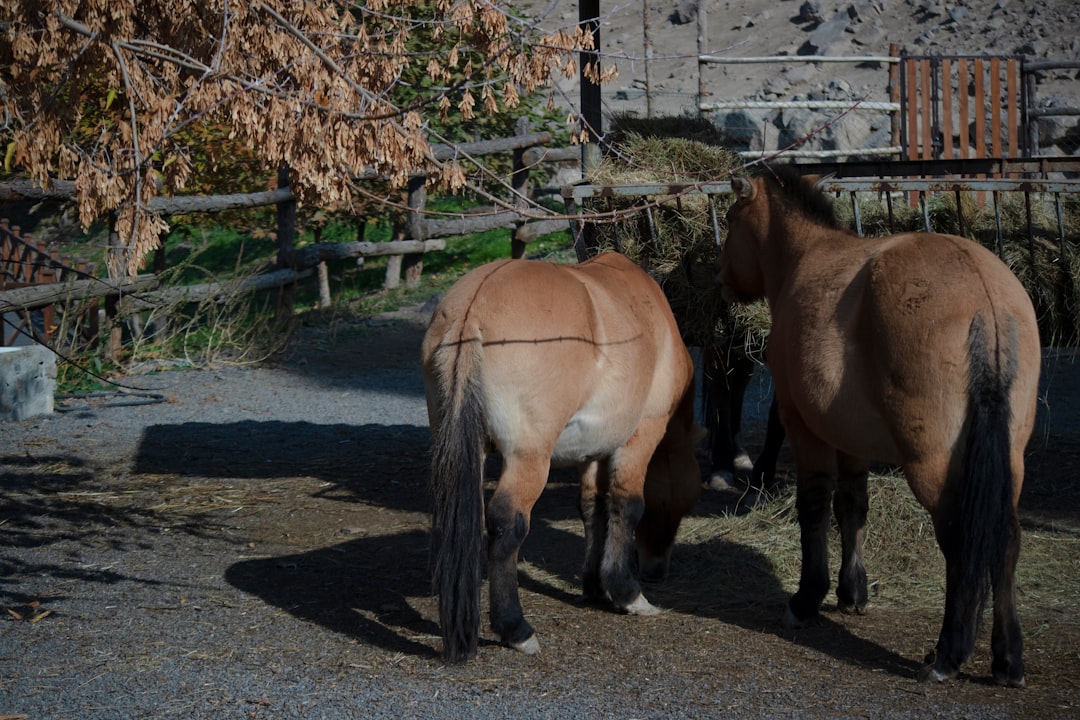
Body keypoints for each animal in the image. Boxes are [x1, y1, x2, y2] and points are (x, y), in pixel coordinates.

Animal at [421, 253, 699, 664]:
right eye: (678, 507)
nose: (656, 569)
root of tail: (472, 310)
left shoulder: (594, 452)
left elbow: (592, 509)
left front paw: (597, 588)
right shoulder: (641, 436)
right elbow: (626, 505)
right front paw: (627, 593)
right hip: (529, 457)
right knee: (507, 525)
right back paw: (516, 629)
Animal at [721, 167, 1041, 686]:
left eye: (730, 220)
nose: (721, 279)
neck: (807, 257)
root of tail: (983, 293)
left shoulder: (805, 428)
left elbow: (814, 505)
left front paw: (807, 598)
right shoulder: (849, 437)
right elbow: (853, 503)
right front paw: (853, 591)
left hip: (932, 465)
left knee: (958, 539)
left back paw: (948, 653)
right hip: (1008, 459)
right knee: (1005, 540)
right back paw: (1007, 659)